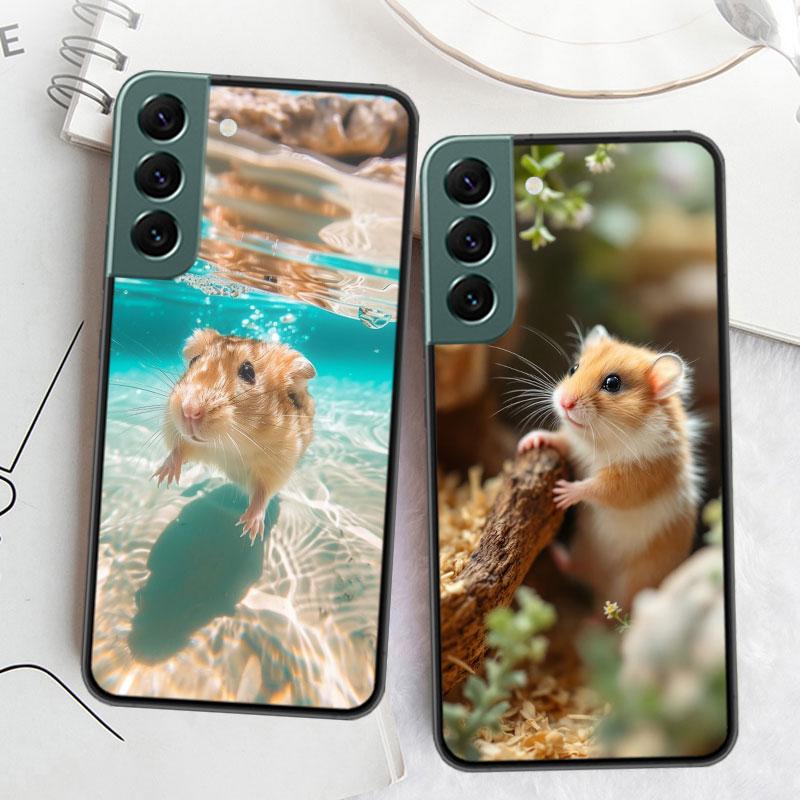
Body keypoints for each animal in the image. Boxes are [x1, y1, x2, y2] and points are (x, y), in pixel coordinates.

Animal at [153, 327, 316, 543]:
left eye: (248, 372)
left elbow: (262, 493)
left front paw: (249, 529)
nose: (189, 410)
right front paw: (162, 477)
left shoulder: (277, 464)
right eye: (193, 360)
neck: (228, 444)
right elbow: (178, 450)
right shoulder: (180, 433)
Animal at [517, 324, 699, 610]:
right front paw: (529, 442)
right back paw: (557, 554)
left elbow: (600, 487)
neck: (600, 439)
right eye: (573, 368)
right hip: (583, 550)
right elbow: (560, 440)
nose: (565, 403)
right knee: (575, 570)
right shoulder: (575, 447)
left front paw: (563, 492)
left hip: (632, 583)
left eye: (613, 384)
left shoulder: (637, 477)